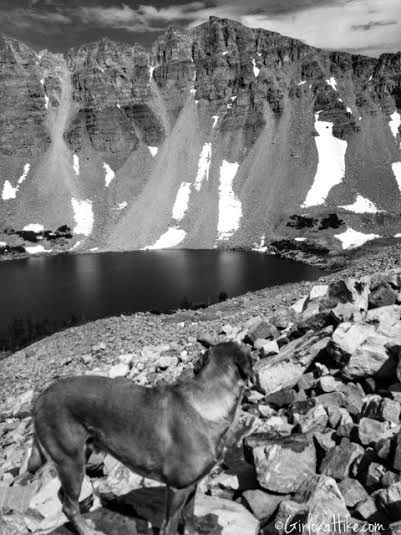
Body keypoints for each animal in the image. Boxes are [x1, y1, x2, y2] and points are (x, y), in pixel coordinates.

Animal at [28, 344, 252, 535]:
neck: (207, 401)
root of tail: (40, 398)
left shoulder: (191, 486)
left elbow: (189, 516)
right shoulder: (177, 489)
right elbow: (170, 525)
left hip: (78, 459)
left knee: (63, 497)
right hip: (70, 462)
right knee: (69, 506)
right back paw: (87, 531)